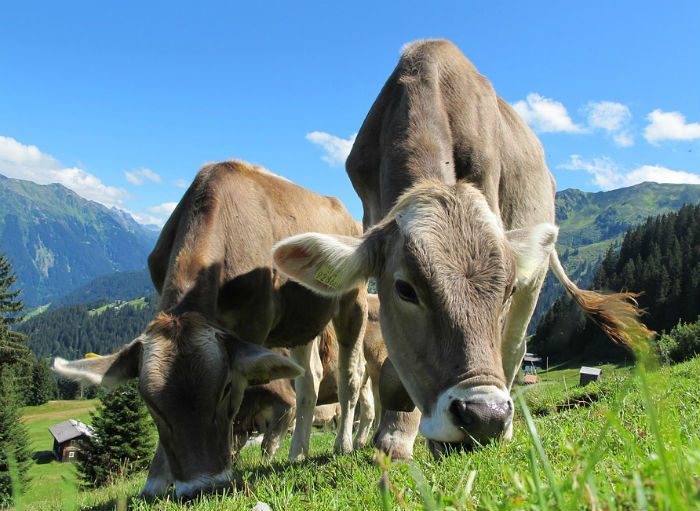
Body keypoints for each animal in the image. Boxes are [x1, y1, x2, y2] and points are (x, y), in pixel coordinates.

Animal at [52, 161, 370, 500]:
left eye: (226, 389)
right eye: (150, 403)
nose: (200, 488)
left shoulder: (252, 327)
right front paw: (156, 480)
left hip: (353, 299)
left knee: (350, 375)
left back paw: (344, 444)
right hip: (301, 321)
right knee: (309, 379)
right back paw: (297, 452)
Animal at [270, 39, 648, 456]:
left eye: (506, 290)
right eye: (405, 289)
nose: (485, 417)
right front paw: (396, 435)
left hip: (535, 279)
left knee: (514, 347)